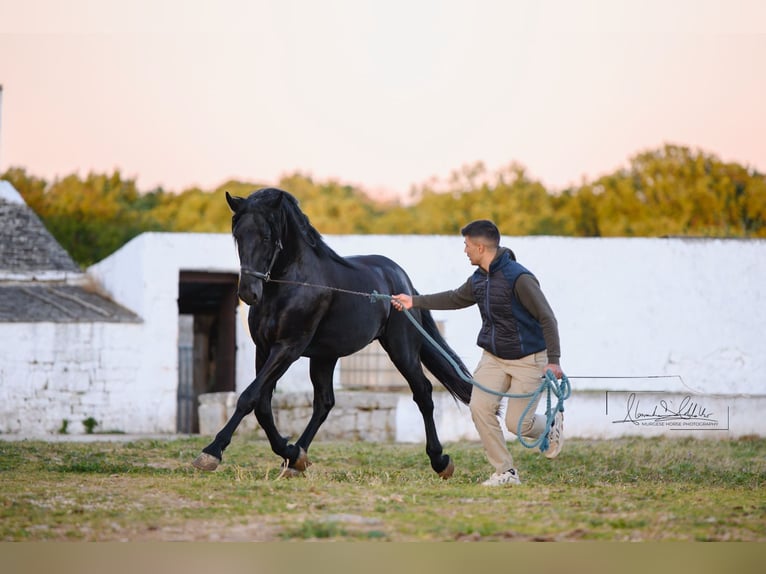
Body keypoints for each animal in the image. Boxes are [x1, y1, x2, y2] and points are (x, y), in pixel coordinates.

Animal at [192, 187, 473, 478]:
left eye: (266, 236)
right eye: (238, 235)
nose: (248, 293)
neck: (292, 284)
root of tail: (403, 281)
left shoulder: (288, 348)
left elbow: (249, 398)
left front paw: (211, 452)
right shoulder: (265, 348)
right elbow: (262, 404)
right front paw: (288, 451)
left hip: (401, 348)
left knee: (423, 393)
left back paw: (440, 461)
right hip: (325, 357)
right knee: (324, 403)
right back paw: (298, 457)